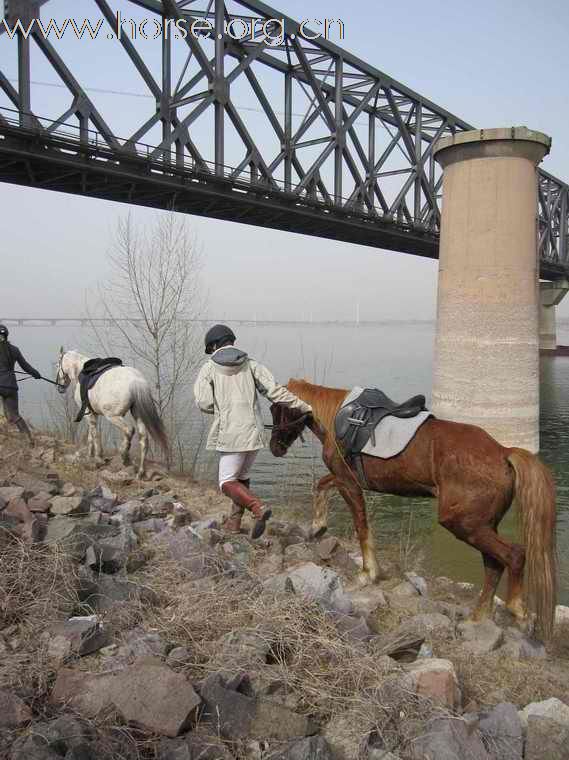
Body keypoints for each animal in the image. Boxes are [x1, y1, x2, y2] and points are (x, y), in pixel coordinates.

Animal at [56, 348, 170, 478]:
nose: (60, 388)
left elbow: (94, 434)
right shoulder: (92, 414)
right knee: (143, 439)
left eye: (57, 365)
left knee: (129, 430)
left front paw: (98, 456)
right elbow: (91, 435)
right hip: (137, 415)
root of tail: (136, 381)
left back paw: (124, 455)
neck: (80, 370)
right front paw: (90, 455)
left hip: (112, 416)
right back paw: (140, 471)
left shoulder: (88, 413)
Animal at [268, 380, 556, 640]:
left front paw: (367, 574)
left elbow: (361, 526)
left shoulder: (349, 484)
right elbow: (320, 486)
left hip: (465, 524)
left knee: (514, 555)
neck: (339, 418)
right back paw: (477, 618)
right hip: (483, 525)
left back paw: (518, 612)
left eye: (277, 409)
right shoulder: (342, 479)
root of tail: (504, 452)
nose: (275, 447)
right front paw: (317, 526)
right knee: (494, 565)